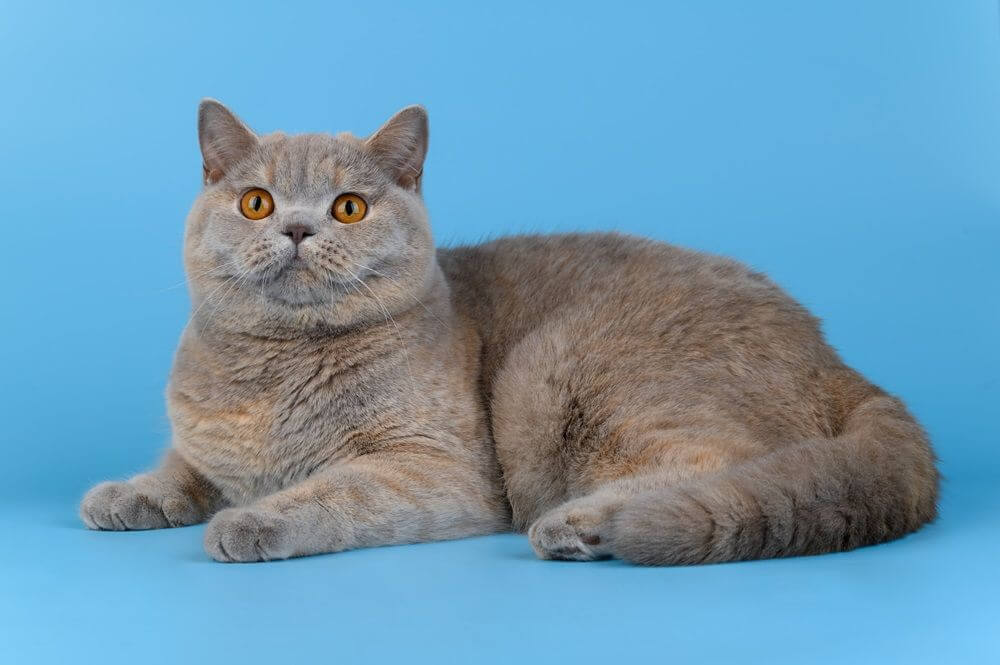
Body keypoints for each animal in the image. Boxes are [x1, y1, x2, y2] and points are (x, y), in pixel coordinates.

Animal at [78, 101, 936, 564]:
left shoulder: (435, 468)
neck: (273, 369)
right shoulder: (207, 444)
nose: (294, 227)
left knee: (726, 462)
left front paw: (252, 520)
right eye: (256, 202)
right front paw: (128, 493)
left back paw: (582, 524)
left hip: (557, 368)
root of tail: (833, 356)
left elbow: (335, 489)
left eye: (348, 207)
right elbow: (184, 466)